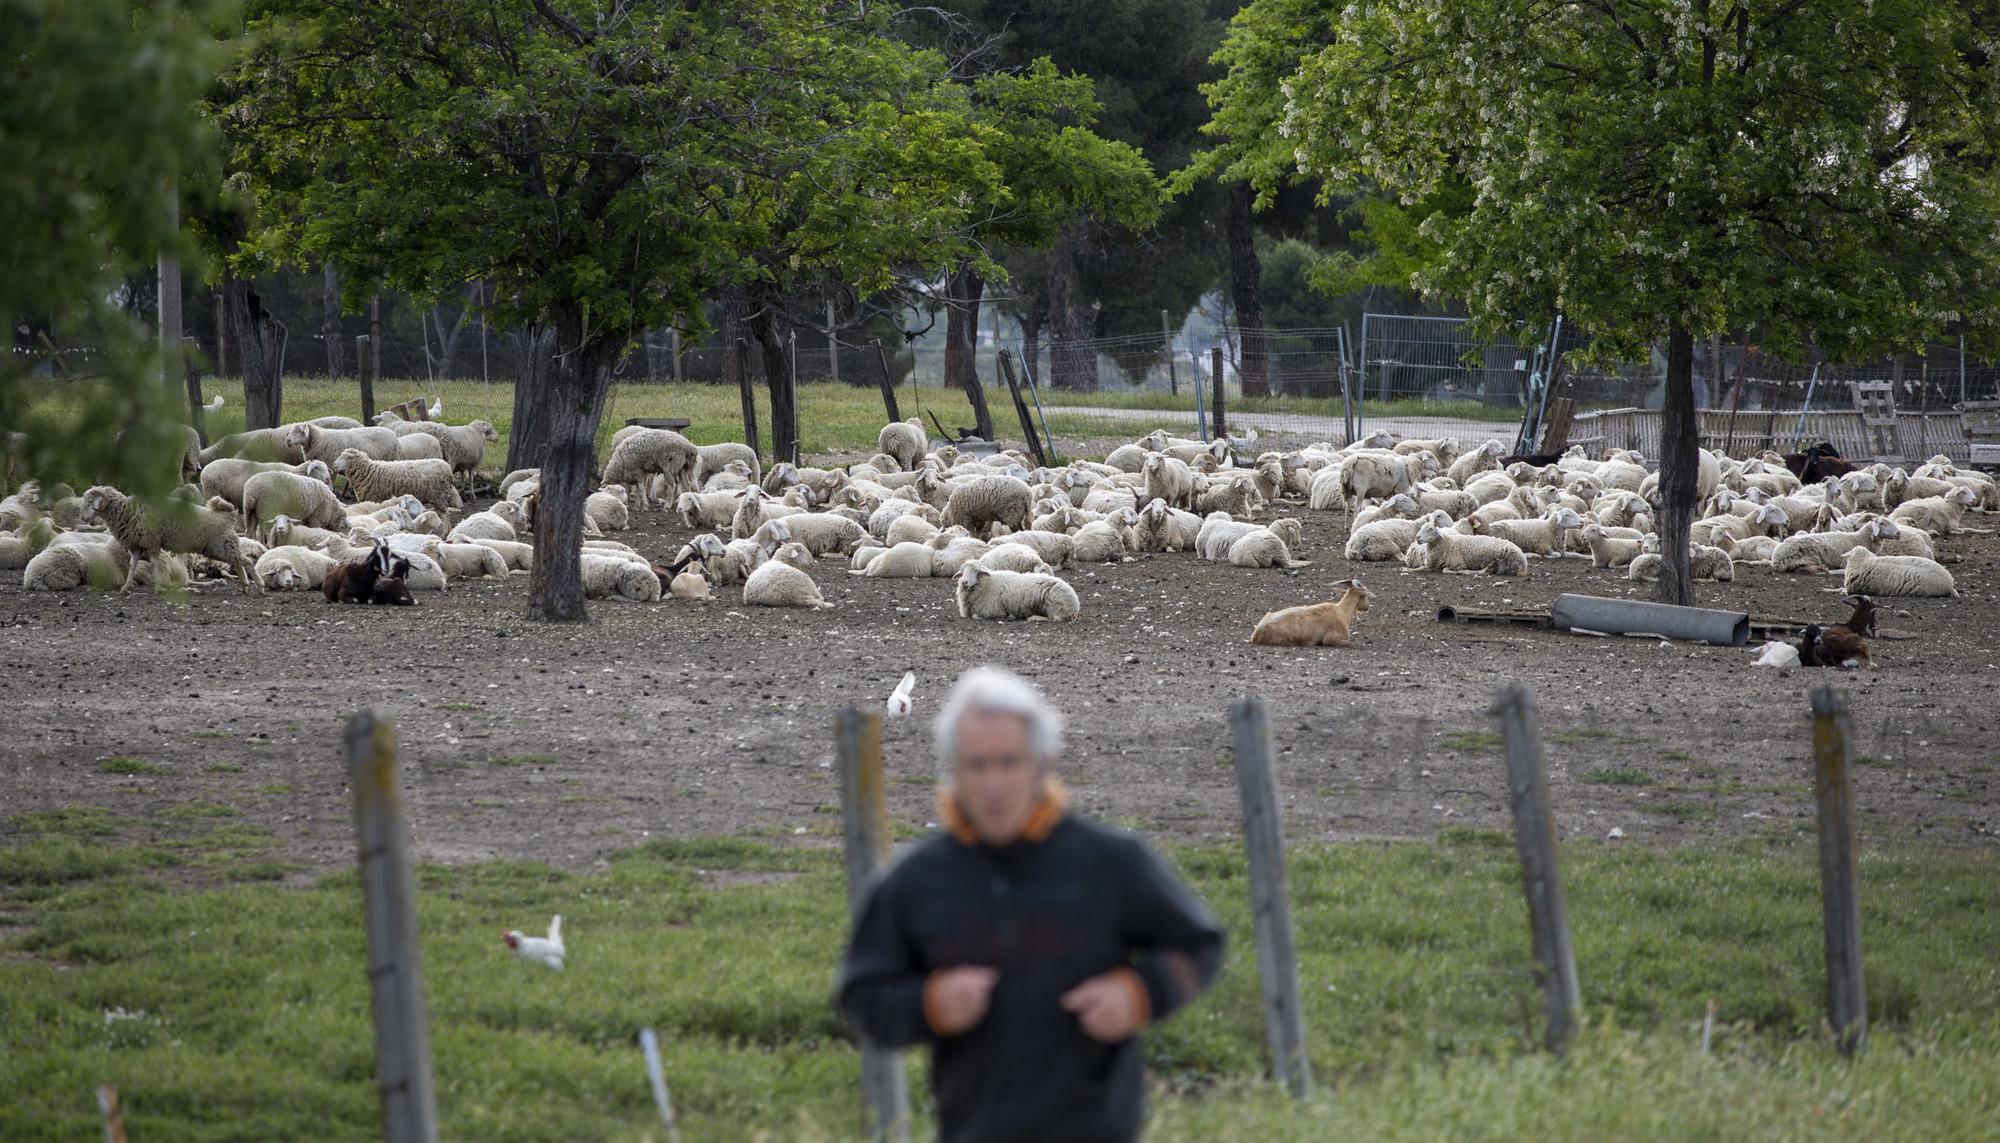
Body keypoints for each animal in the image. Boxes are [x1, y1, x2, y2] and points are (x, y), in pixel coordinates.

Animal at [952, 563, 1080, 623]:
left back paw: (1033, 618)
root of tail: (1076, 605)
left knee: (1055, 618)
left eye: (976, 570)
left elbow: (975, 615)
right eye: (962, 571)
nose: (964, 582)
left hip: (1055, 606)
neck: (988, 584)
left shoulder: (994, 611)